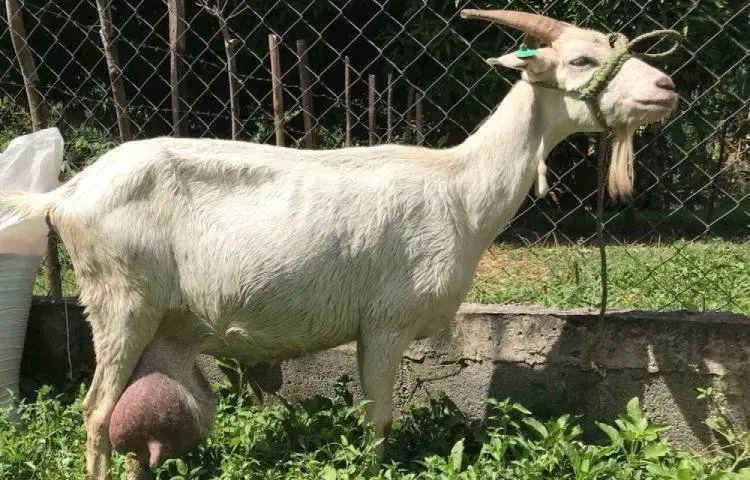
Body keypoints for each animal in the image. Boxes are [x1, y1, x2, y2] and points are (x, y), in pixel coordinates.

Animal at [0, 10, 678, 479]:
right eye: (582, 60)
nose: (667, 86)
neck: (459, 189)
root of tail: (70, 194)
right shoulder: (387, 321)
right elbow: (377, 419)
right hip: (121, 300)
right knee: (94, 413)